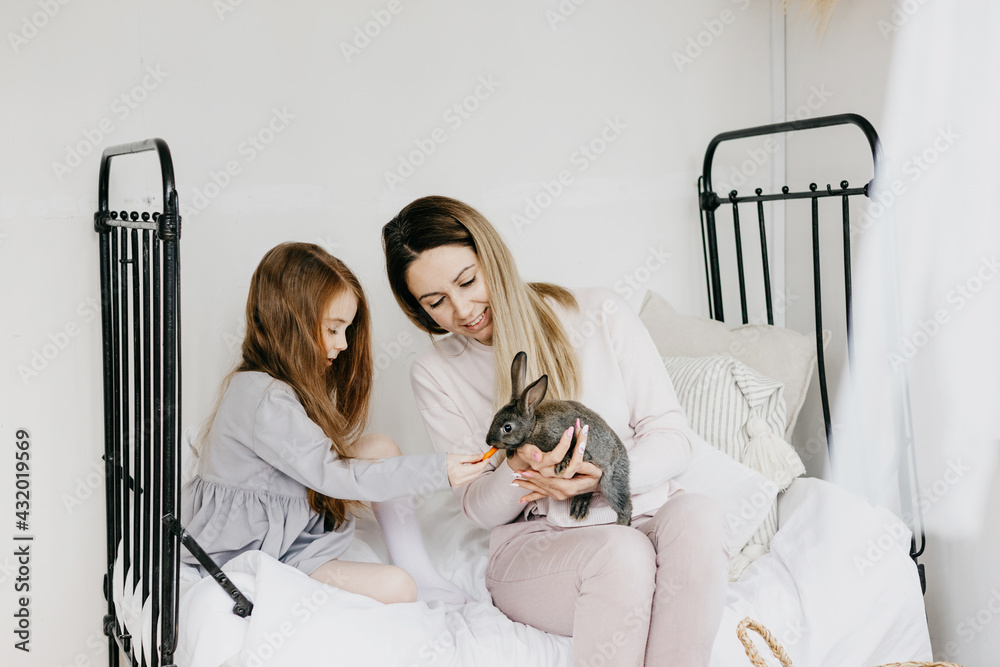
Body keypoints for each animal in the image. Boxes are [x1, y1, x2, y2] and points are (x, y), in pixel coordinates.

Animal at [486, 352, 632, 524]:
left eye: (507, 427)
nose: (488, 441)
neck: (535, 427)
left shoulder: (572, 436)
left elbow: (573, 449)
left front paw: (562, 464)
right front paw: (510, 452)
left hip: (611, 482)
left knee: (624, 504)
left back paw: (621, 523)